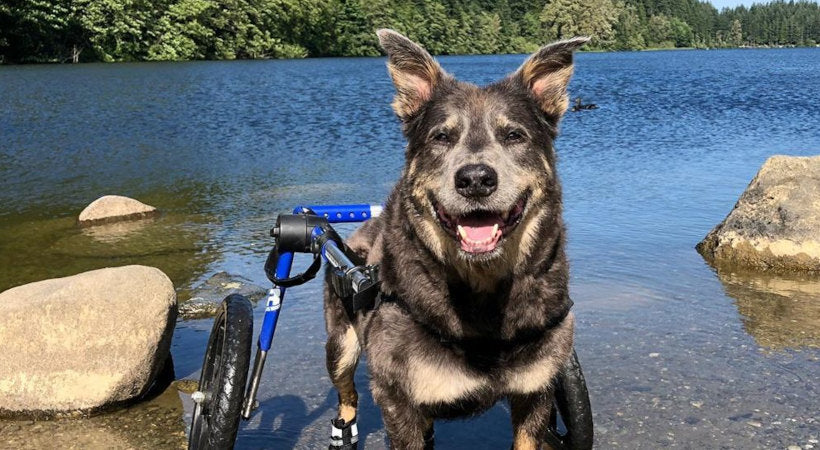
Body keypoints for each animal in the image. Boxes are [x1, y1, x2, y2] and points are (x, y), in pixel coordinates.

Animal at [324, 29, 588, 450]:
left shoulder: (536, 390)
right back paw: (343, 428)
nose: (476, 178)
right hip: (340, 343)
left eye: (514, 135)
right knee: (346, 391)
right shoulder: (398, 399)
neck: (483, 292)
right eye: (441, 137)